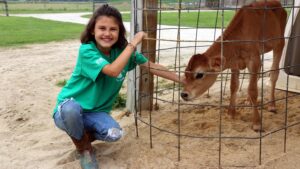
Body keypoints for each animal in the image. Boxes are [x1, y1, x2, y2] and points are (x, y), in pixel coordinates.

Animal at [180, 0, 288, 131]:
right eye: (185, 73)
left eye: (199, 74)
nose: (183, 94)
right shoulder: (235, 63)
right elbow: (233, 86)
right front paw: (231, 113)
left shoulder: (253, 60)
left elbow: (253, 90)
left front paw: (257, 123)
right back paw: (248, 101)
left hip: (280, 43)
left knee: (273, 73)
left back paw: (272, 105)